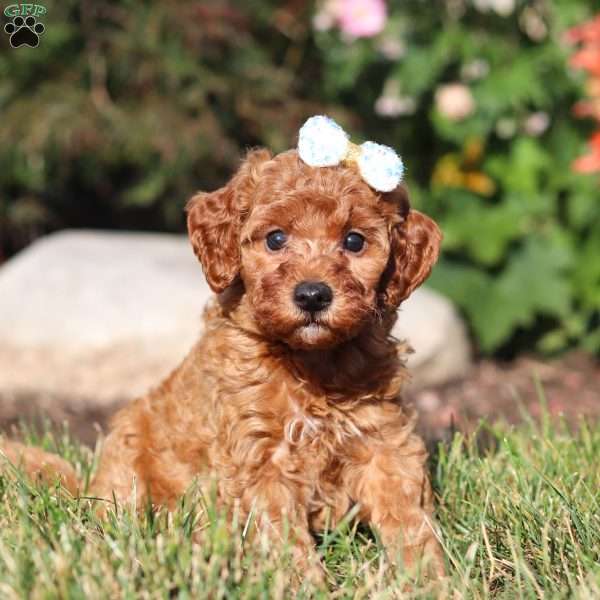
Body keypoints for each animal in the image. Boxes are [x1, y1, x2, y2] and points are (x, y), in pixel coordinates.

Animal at [2, 125, 446, 576]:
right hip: (128, 457)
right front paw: (303, 581)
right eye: (276, 239)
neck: (311, 361)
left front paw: (428, 578)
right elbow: (281, 534)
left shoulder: (383, 440)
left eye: (355, 241)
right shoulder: (259, 457)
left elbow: (407, 517)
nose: (312, 295)